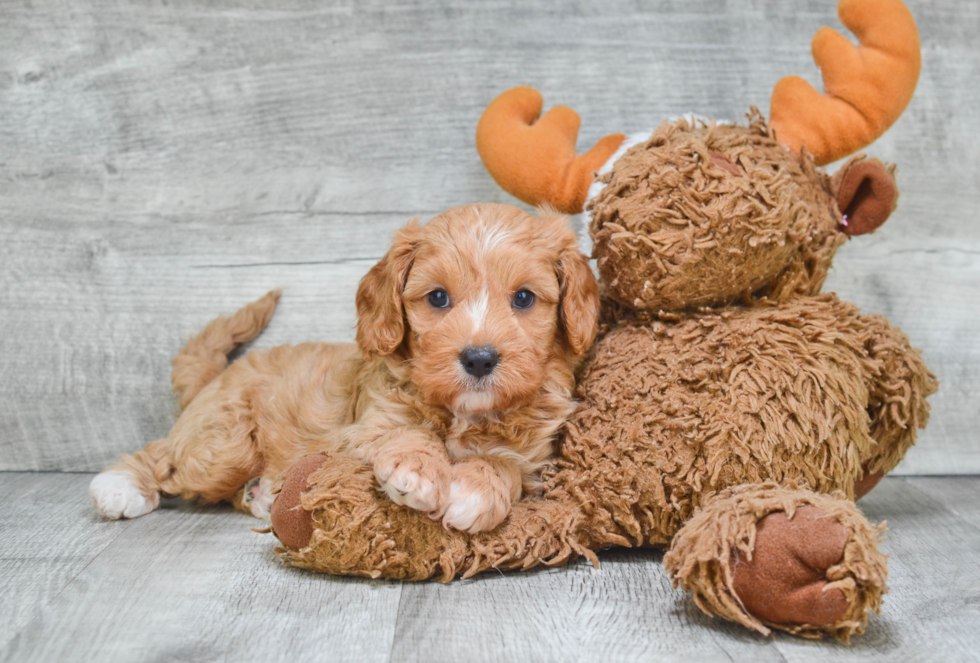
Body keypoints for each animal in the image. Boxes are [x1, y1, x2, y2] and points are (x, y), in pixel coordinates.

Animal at [90, 202, 596, 536]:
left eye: (524, 298)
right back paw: (120, 486)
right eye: (437, 298)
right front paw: (417, 472)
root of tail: (213, 381)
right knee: (165, 454)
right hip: (222, 444)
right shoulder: (358, 431)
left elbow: (505, 466)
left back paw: (261, 495)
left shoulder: (534, 460)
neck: (464, 413)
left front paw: (474, 491)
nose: (479, 358)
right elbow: (407, 432)